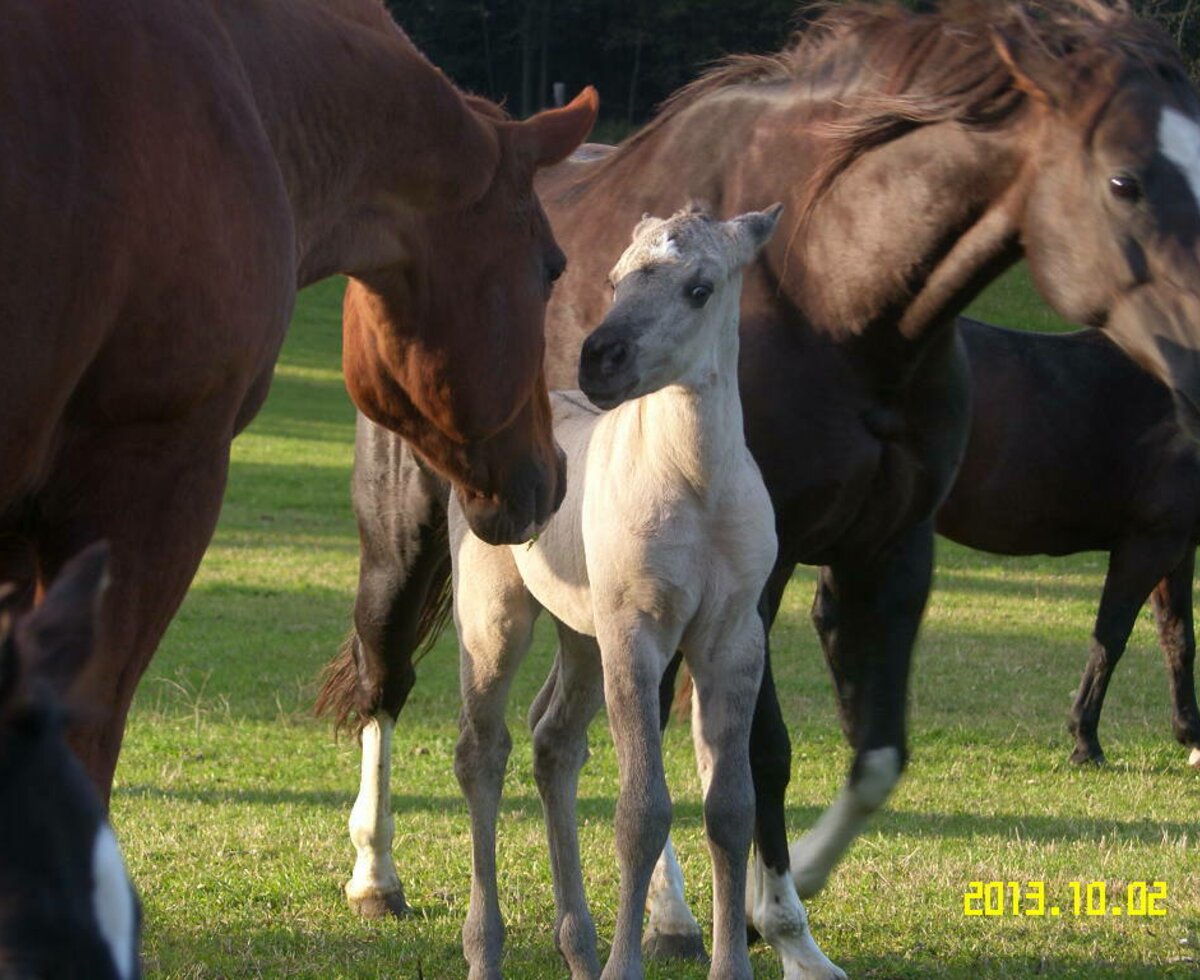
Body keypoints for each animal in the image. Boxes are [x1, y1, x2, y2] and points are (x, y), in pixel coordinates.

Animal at [936, 316, 1200, 767]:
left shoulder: (1177, 547)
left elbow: (1178, 639)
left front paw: (1191, 734)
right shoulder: (1146, 546)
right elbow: (1109, 639)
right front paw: (1085, 741)